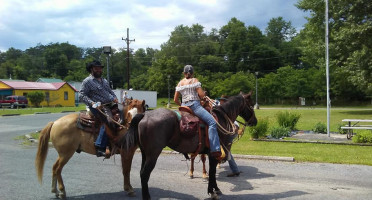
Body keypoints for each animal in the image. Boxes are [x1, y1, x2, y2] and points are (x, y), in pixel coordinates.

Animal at [120, 91, 258, 199]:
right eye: (251, 105)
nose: (255, 121)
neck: (221, 119)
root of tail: (144, 115)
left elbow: (212, 172)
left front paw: (215, 189)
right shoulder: (214, 153)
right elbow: (212, 172)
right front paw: (212, 191)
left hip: (145, 153)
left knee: (142, 173)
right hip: (153, 154)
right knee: (145, 174)